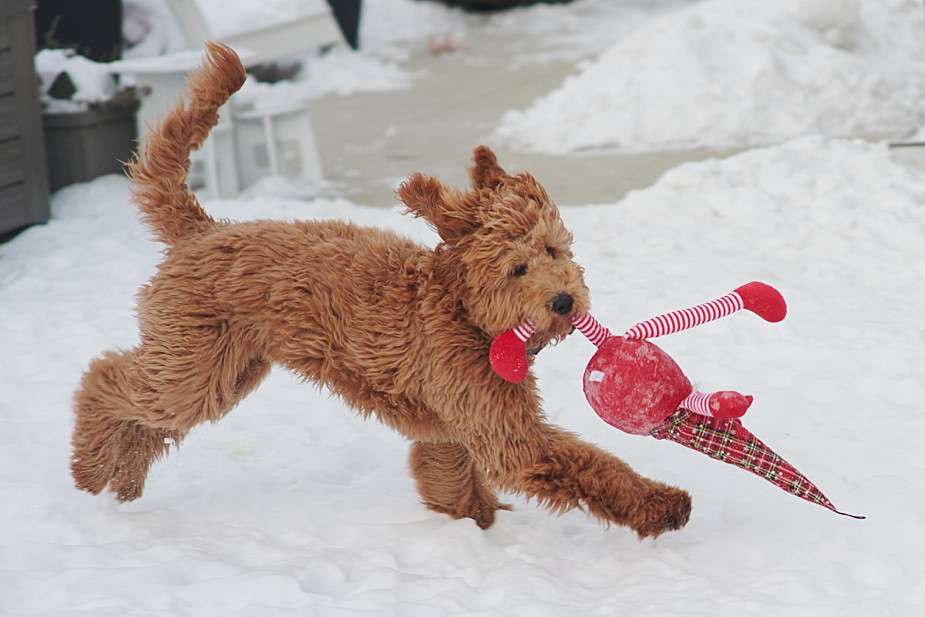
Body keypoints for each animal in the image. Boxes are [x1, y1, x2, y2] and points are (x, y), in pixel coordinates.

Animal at [72, 43, 688, 536]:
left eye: (553, 251)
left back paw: (123, 478)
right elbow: (590, 466)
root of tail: (203, 229)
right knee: (104, 379)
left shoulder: (449, 430)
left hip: (228, 368)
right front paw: (662, 504)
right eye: (516, 268)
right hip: (193, 367)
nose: (564, 302)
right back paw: (90, 466)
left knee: (146, 421)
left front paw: (474, 526)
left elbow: (450, 480)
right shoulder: (505, 433)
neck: (464, 313)